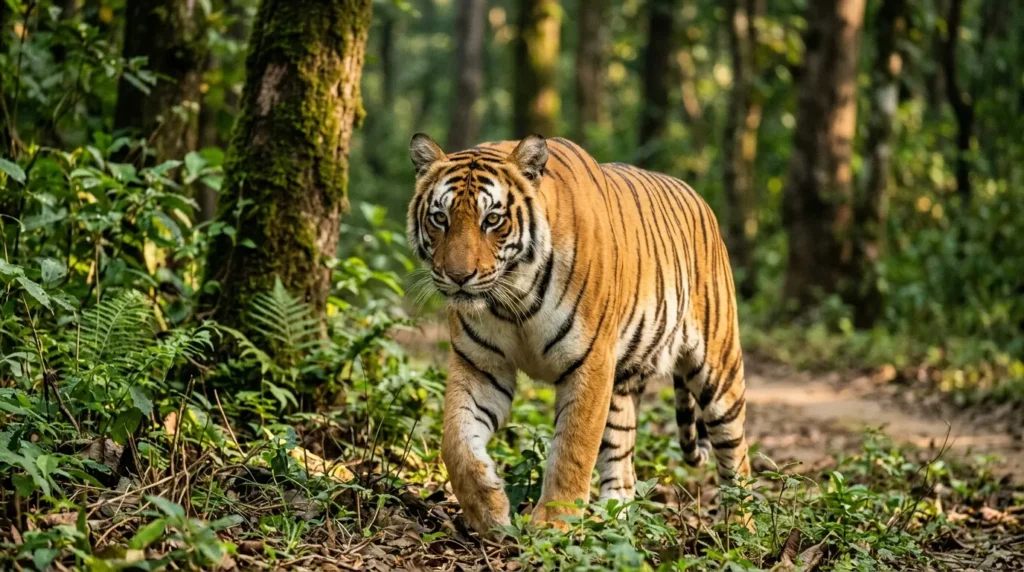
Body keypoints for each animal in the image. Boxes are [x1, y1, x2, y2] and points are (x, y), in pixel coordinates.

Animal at [406, 133, 750, 536]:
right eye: (439, 218)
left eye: (492, 220)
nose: (459, 276)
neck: (513, 298)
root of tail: (699, 199)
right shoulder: (481, 364)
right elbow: (456, 442)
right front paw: (488, 510)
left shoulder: (590, 362)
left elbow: (573, 447)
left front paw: (553, 524)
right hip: (621, 385)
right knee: (622, 460)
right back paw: (611, 517)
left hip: (718, 369)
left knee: (737, 452)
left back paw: (742, 525)